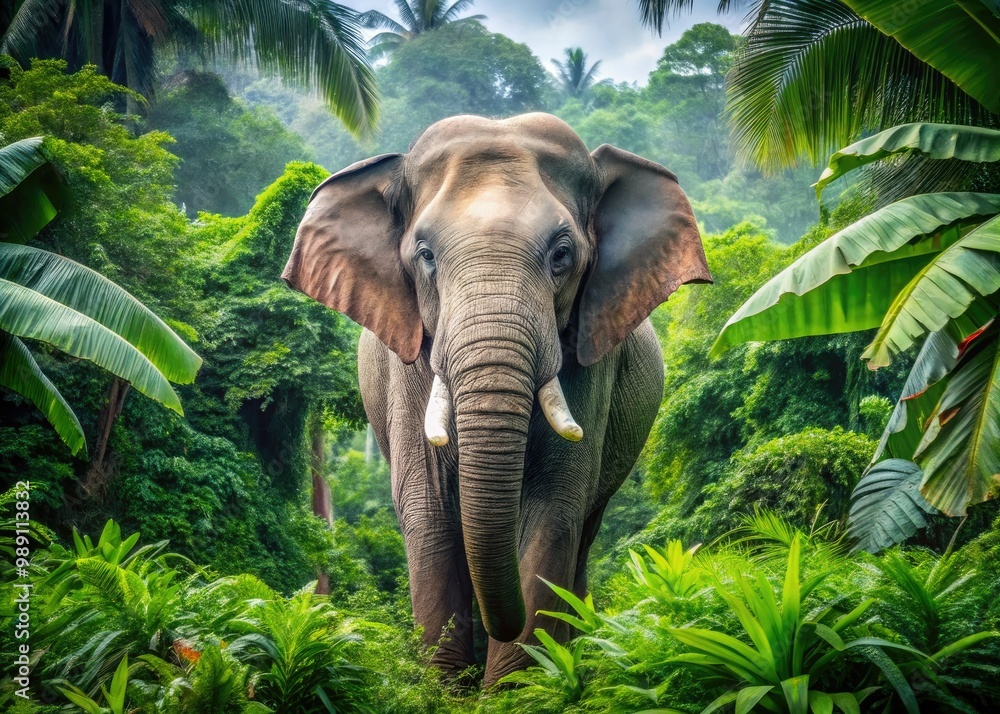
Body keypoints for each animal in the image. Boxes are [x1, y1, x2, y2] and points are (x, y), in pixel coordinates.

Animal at [282, 112, 711, 686]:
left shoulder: (588, 358)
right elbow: (429, 509)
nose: (499, 628)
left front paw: (516, 690)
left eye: (562, 254)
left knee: (584, 532)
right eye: (426, 256)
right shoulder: (408, 367)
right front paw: (444, 689)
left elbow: (553, 510)